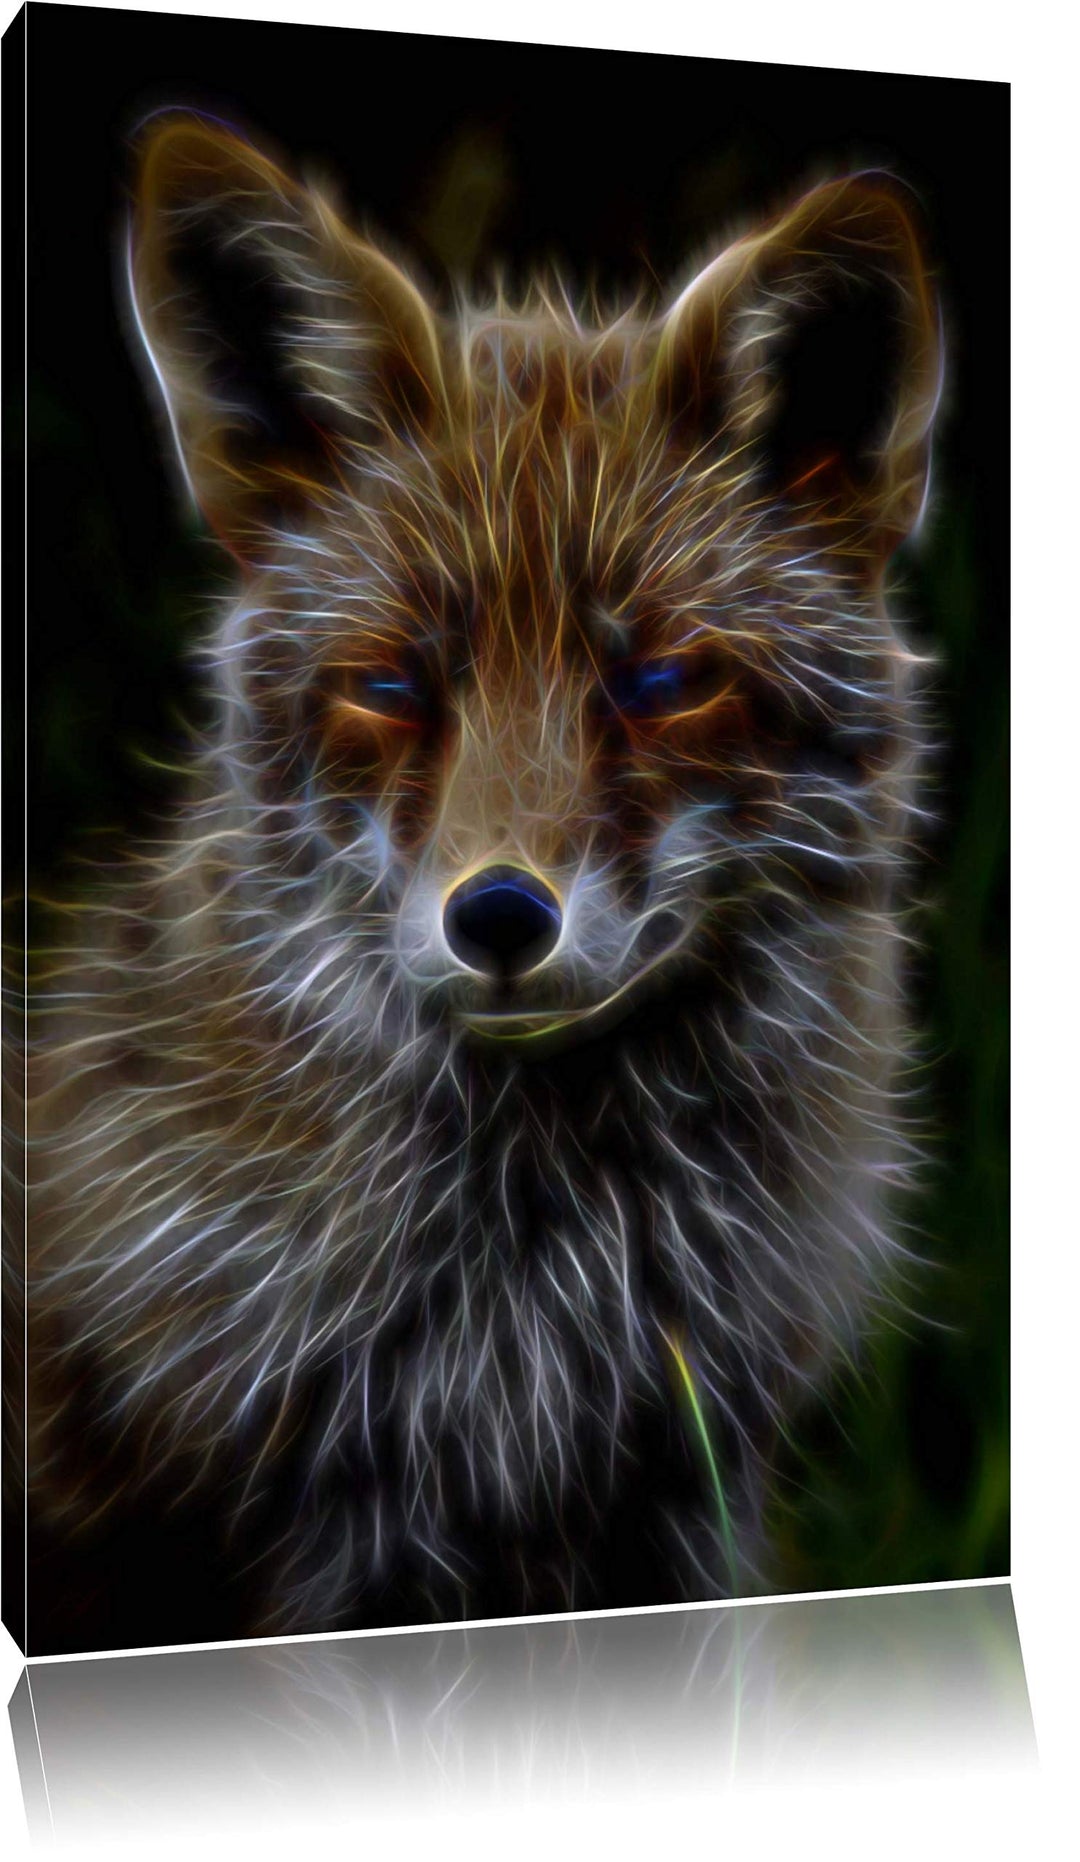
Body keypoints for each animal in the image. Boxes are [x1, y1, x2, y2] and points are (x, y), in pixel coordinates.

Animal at [12, 115, 942, 1651]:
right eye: (392, 686)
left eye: (663, 684)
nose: (499, 916)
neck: (538, 1311)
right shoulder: (319, 1532)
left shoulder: (681, 1498)